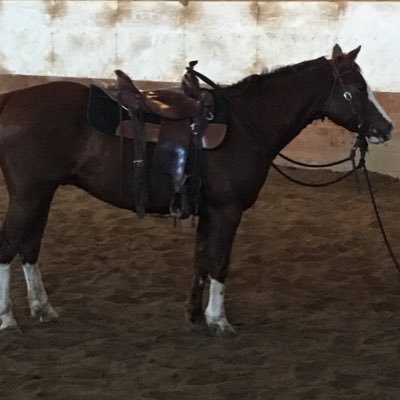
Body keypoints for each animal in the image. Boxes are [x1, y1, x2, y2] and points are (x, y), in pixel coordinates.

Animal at [0, 43, 394, 334]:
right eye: (358, 89)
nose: (386, 127)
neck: (247, 124)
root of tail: (11, 101)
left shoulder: (208, 210)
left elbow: (202, 258)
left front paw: (194, 313)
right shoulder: (227, 210)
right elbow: (220, 262)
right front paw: (218, 320)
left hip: (43, 193)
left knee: (29, 247)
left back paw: (43, 308)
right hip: (28, 195)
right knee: (9, 246)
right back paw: (8, 319)